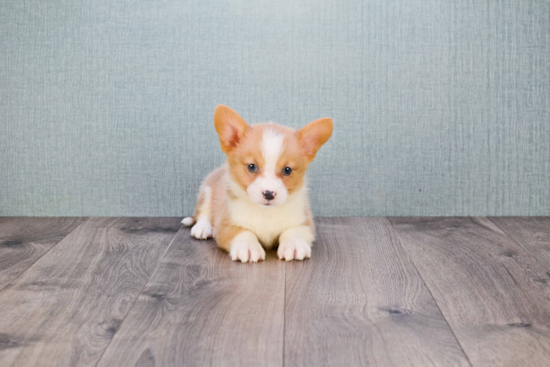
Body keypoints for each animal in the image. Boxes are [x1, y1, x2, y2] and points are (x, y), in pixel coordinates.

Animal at [183, 105, 334, 264]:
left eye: (287, 170)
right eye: (251, 166)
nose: (269, 194)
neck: (265, 213)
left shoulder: (305, 223)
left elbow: (293, 231)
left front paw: (294, 245)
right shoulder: (225, 225)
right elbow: (243, 232)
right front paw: (248, 247)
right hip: (206, 189)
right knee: (203, 211)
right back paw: (202, 228)